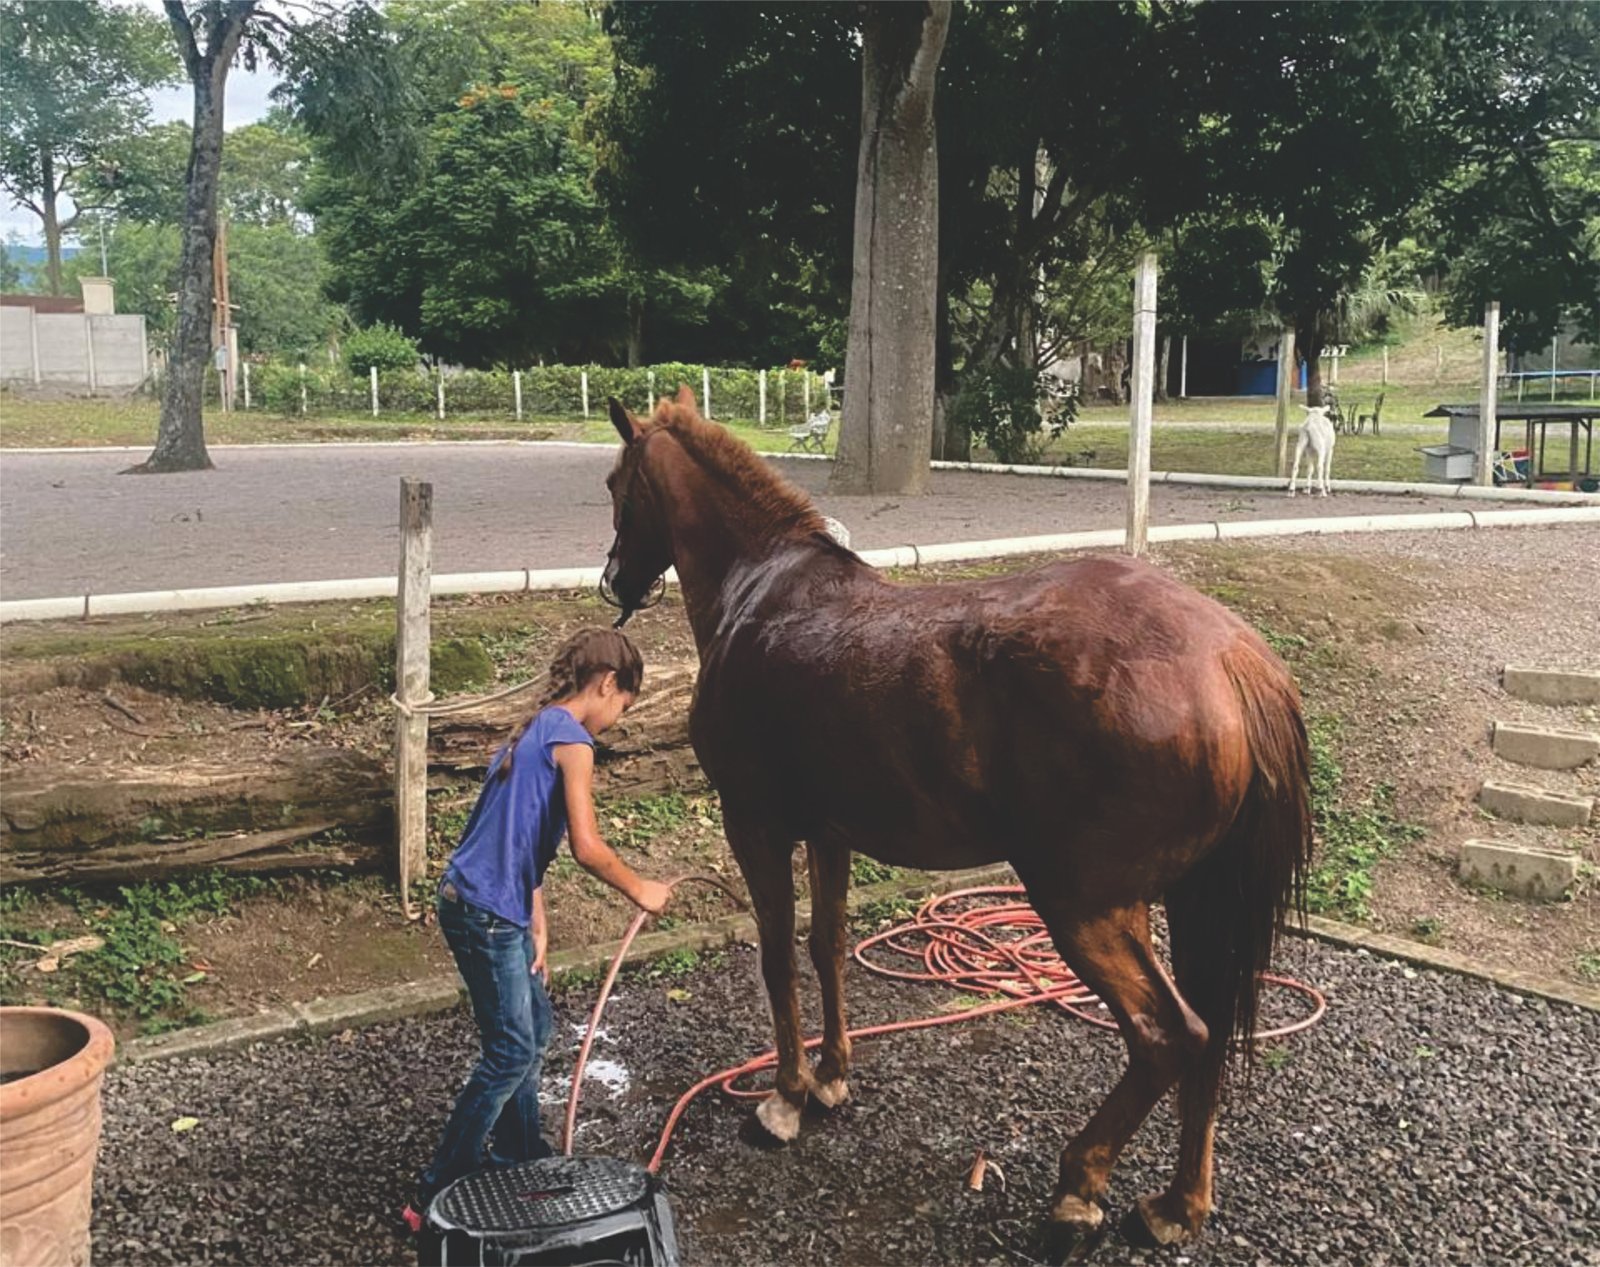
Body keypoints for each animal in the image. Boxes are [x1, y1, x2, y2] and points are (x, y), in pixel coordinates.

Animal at [600, 388, 1311, 1247]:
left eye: (615, 484)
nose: (612, 581)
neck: (762, 588)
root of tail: (1231, 658)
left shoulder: (757, 825)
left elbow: (776, 958)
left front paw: (786, 1098)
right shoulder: (831, 833)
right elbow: (827, 945)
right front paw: (831, 1077)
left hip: (1085, 905)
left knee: (1168, 1036)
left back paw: (1079, 1183)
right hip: (1186, 899)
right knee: (1206, 1035)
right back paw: (1177, 1205)